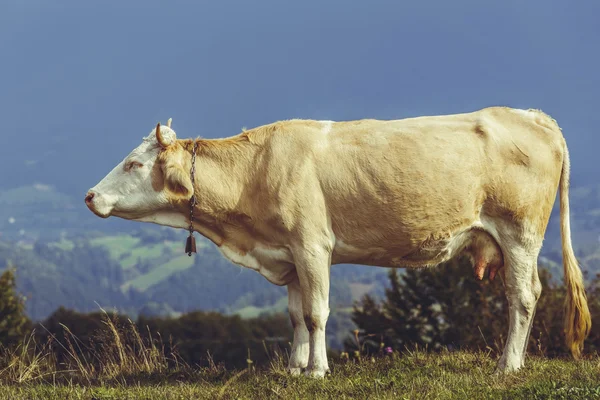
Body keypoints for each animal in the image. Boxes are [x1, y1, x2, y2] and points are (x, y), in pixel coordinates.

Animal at [84, 107, 592, 378]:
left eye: (132, 163)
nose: (90, 196)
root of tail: (531, 114)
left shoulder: (312, 245)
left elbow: (316, 313)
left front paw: (317, 370)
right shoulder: (287, 252)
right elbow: (294, 315)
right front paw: (293, 367)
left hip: (520, 233)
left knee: (523, 296)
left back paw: (509, 365)